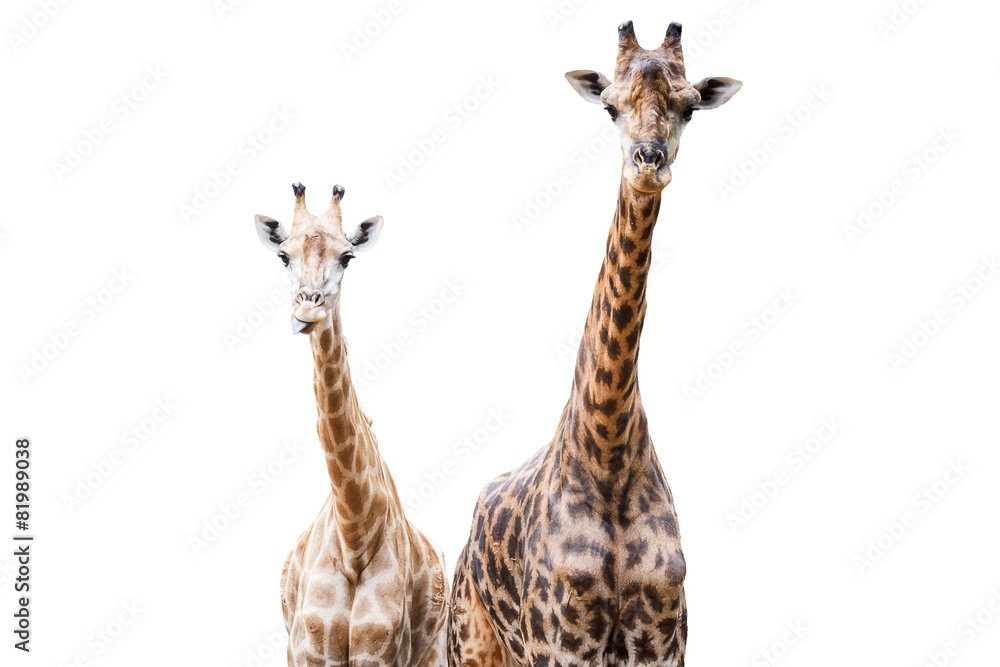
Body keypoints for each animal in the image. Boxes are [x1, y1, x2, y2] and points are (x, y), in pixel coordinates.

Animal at [254, 182, 448, 667]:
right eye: (283, 255)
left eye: (347, 256)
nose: (307, 312)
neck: (354, 533)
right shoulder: (308, 650)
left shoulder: (381, 653)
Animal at [447, 21, 741, 666]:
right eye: (610, 106)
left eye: (690, 107)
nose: (649, 162)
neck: (607, 453)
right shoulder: (561, 645)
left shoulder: (663, 644)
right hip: (472, 643)